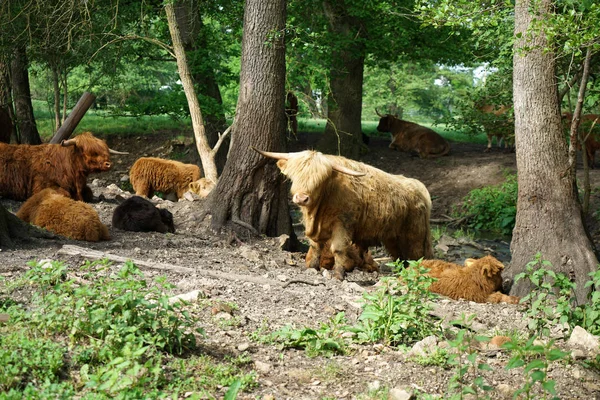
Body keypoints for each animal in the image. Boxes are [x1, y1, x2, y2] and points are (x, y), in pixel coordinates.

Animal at [253, 148, 432, 282]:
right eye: (295, 175)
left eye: (318, 180)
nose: (302, 198)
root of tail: (420, 187)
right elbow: (315, 246)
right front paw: (312, 267)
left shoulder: (343, 224)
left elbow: (338, 249)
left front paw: (338, 275)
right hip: (392, 237)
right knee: (398, 256)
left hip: (414, 235)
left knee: (416, 256)